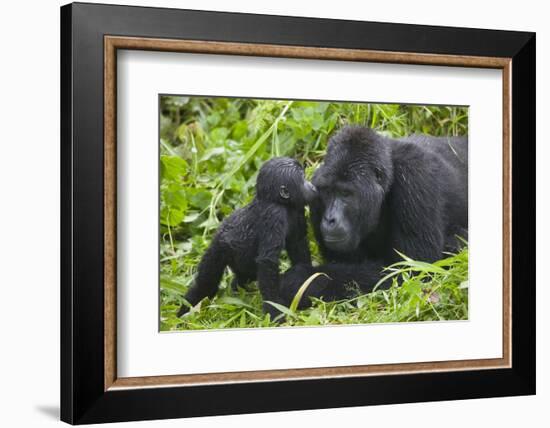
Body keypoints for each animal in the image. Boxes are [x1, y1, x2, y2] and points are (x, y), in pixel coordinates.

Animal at [179, 157, 316, 318]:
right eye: (303, 178)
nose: (312, 186)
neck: (278, 201)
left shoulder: (297, 209)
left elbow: (298, 245)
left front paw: (307, 279)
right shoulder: (274, 215)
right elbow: (267, 261)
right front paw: (274, 309)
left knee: (244, 275)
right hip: (218, 249)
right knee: (206, 283)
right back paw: (185, 310)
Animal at [282, 125, 468, 306]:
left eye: (345, 193)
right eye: (327, 192)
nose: (330, 219)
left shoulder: (416, 176)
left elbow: (412, 270)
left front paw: (301, 280)